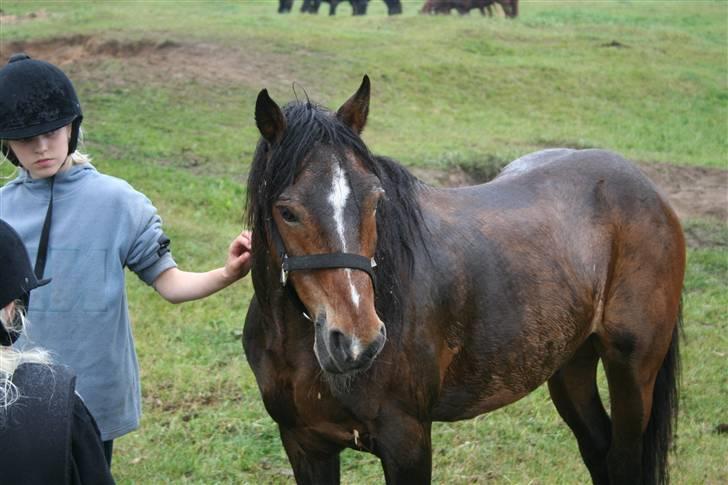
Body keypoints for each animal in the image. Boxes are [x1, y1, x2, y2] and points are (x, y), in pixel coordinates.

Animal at [242, 73, 684, 482]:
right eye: (287, 212)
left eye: (376, 200)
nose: (357, 341)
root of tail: (647, 189)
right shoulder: (305, 444)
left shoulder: (407, 443)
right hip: (571, 362)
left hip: (632, 371)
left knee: (623, 460)